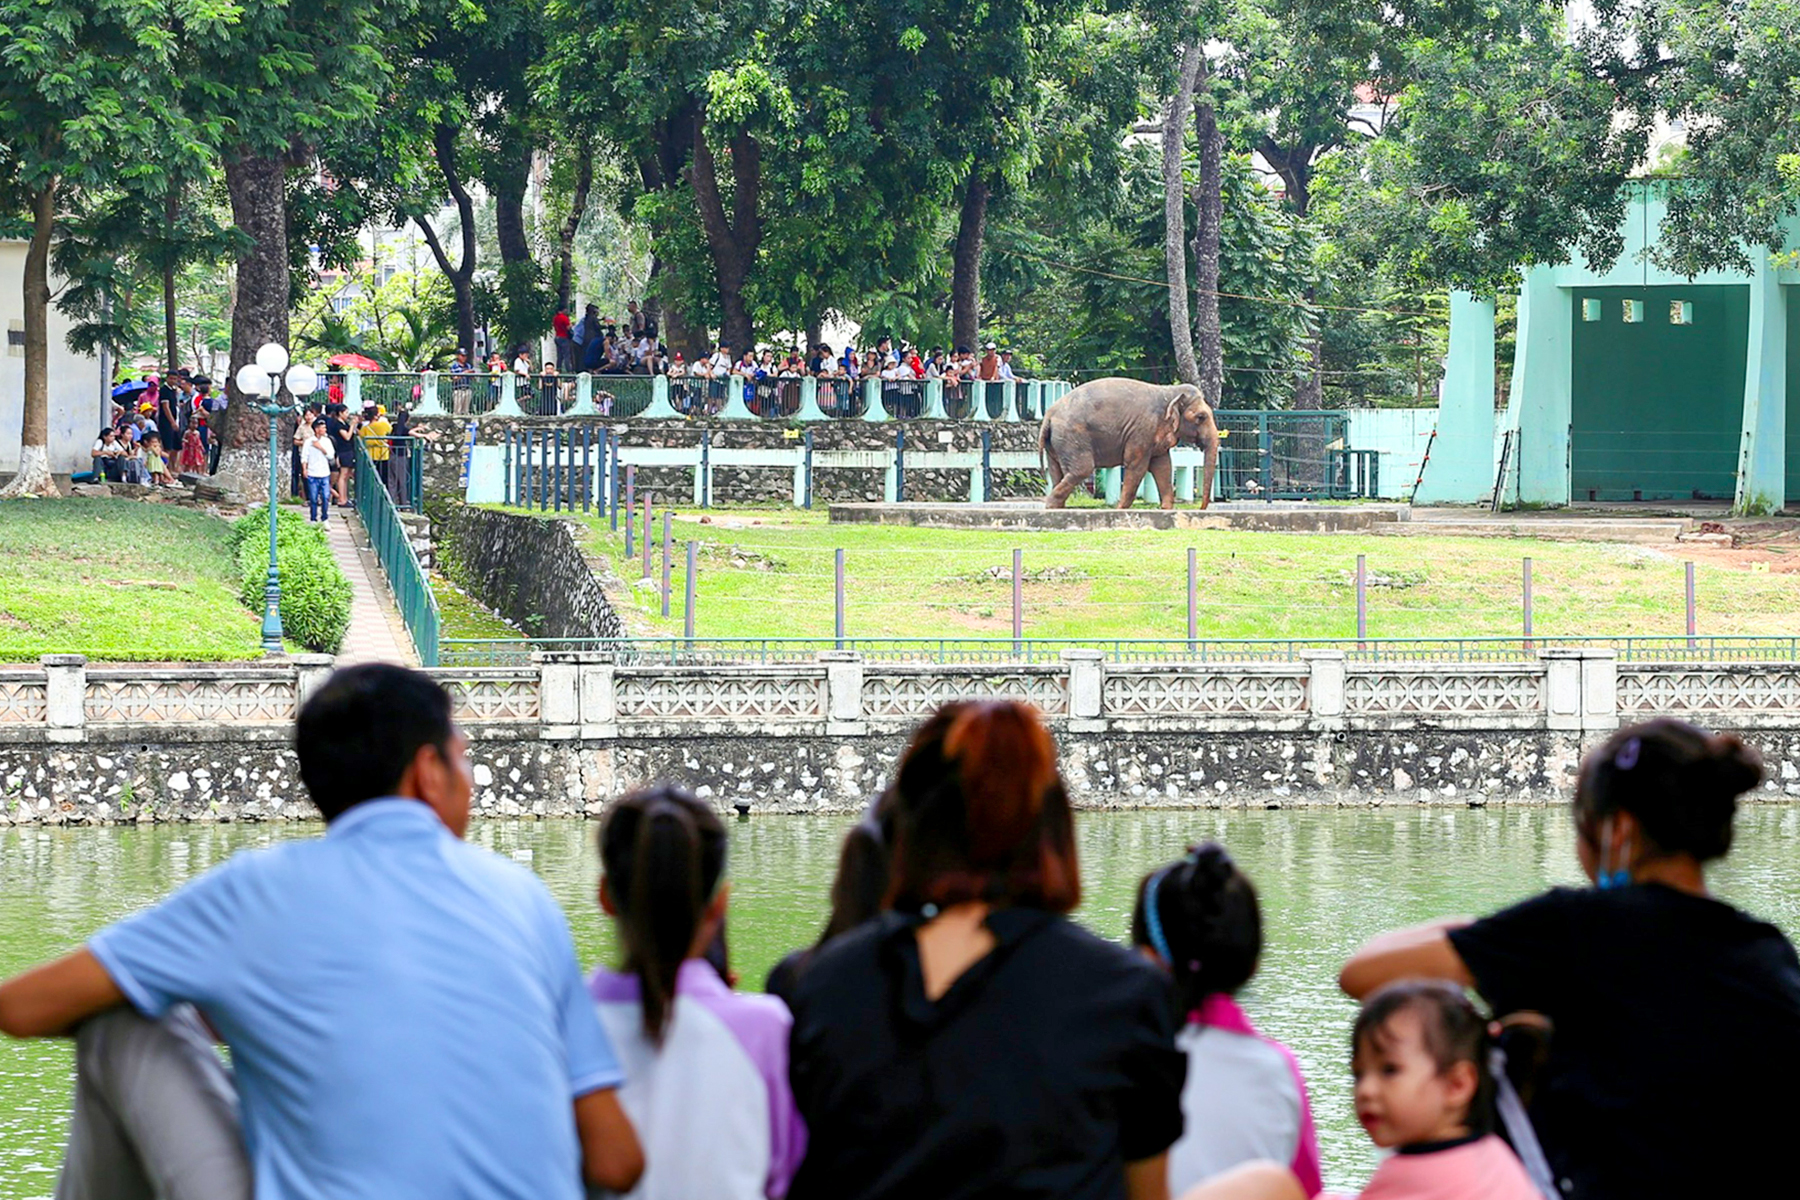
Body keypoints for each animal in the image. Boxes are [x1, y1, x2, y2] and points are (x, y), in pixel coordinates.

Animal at [1044, 376, 1224, 507]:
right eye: (1201, 417)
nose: (1201, 508)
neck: (1169, 391)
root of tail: (1049, 414)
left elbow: (1163, 466)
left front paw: (1166, 510)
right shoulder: (1142, 431)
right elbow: (1137, 466)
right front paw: (1120, 510)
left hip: (1056, 444)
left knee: (1057, 473)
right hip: (1072, 438)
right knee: (1082, 470)